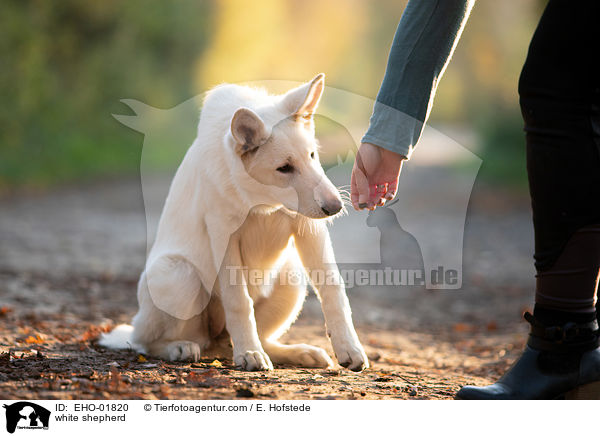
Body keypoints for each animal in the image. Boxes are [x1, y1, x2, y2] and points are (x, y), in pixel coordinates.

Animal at [101, 74, 368, 372]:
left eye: (312, 155)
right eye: (284, 168)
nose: (336, 207)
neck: (263, 202)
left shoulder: (309, 228)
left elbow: (333, 289)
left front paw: (348, 347)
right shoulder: (223, 236)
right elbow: (239, 300)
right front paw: (249, 353)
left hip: (291, 278)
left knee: (259, 339)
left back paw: (296, 352)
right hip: (179, 276)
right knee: (150, 343)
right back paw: (181, 348)